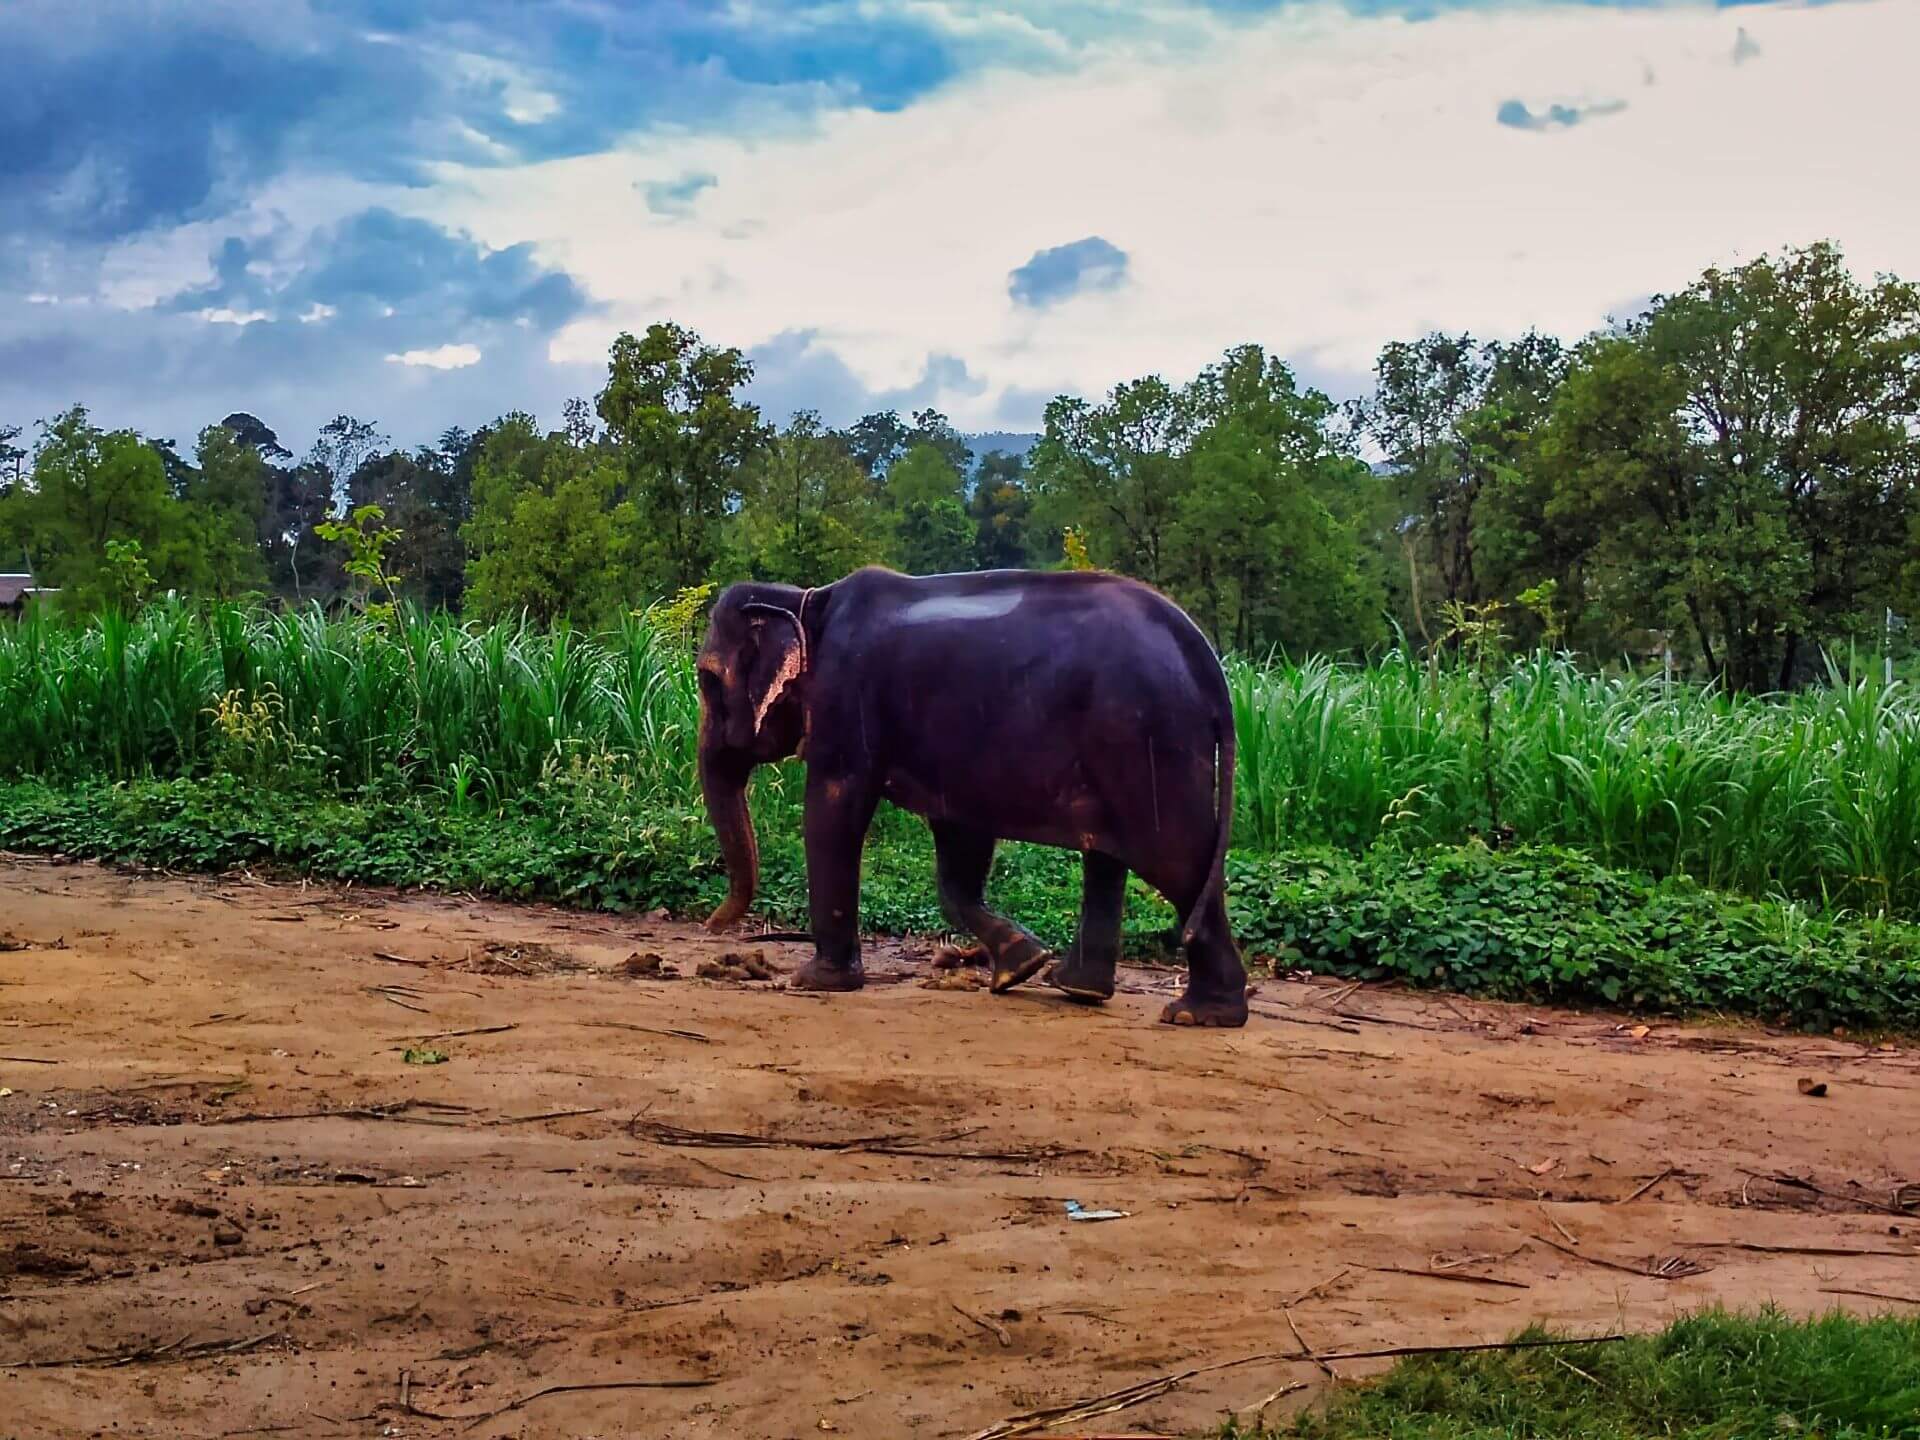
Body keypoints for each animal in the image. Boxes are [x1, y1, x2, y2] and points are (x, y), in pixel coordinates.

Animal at [696, 566, 1248, 1028]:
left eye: (707, 679)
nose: (712, 926)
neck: (809, 600)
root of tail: (1205, 661)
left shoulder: (846, 703)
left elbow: (833, 810)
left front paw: (815, 983)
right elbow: (959, 846)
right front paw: (1018, 967)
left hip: (1145, 739)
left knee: (1177, 861)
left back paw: (1198, 1014)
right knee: (1112, 855)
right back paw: (1079, 989)